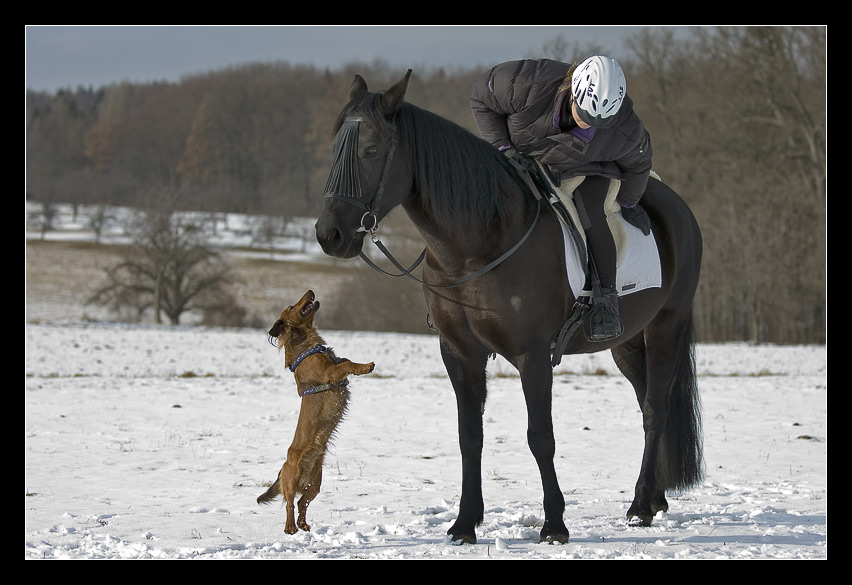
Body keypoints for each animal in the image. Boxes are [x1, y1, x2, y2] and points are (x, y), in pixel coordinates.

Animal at [255, 290, 372, 532]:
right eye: (292, 306)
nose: (310, 292)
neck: (307, 346)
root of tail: (283, 470)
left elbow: (345, 360)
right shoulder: (329, 372)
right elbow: (346, 365)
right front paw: (366, 366)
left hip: (315, 484)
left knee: (302, 503)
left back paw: (304, 525)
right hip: (291, 479)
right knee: (290, 503)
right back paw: (290, 527)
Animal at [316, 72, 704, 544]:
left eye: (371, 150)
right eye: (335, 148)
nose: (329, 235)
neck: (477, 246)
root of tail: (678, 207)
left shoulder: (532, 355)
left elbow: (540, 436)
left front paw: (554, 524)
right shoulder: (460, 353)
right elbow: (469, 436)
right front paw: (465, 523)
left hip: (666, 326)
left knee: (655, 410)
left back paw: (640, 507)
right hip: (628, 342)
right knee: (648, 401)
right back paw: (654, 498)